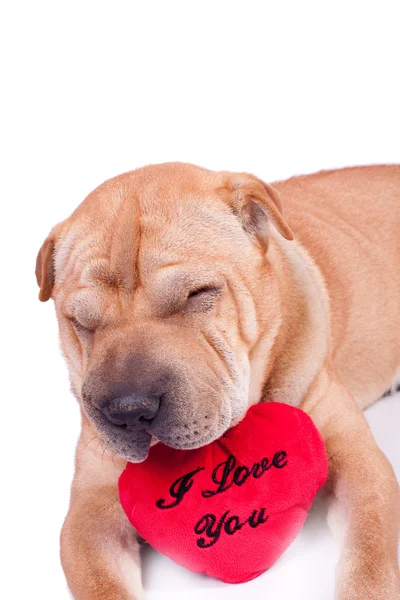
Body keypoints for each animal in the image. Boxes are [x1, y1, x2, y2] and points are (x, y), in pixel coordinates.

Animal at [35, 164, 400, 600]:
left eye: (198, 294)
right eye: (80, 322)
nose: (130, 409)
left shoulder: (359, 462)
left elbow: (371, 552)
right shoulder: (92, 508)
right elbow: (102, 584)